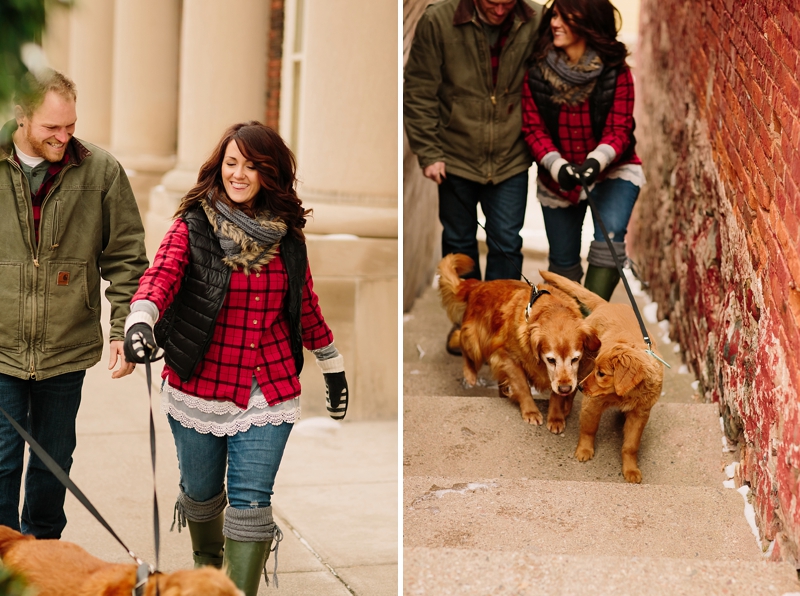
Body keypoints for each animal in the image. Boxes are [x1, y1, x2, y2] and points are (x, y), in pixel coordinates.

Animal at [438, 253, 600, 434]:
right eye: (550, 360)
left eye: (575, 359)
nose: (565, 389)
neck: (550, 308)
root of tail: (479, 285)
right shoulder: (508, 357)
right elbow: (523, 386)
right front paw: (530, 411)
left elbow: (556, 393)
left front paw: (556, 417)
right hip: (473, 342)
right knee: (460, 340)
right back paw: (470, 373)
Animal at [540, 270, 664, 484]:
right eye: (597, 370)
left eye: (602, 374)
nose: (582, 387)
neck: (625, 395)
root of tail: (606, 304)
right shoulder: (593, 402)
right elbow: (589, 428)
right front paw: (584, 450)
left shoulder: (640, 413)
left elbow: (631, 446)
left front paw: (631, 470)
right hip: (582, 363)